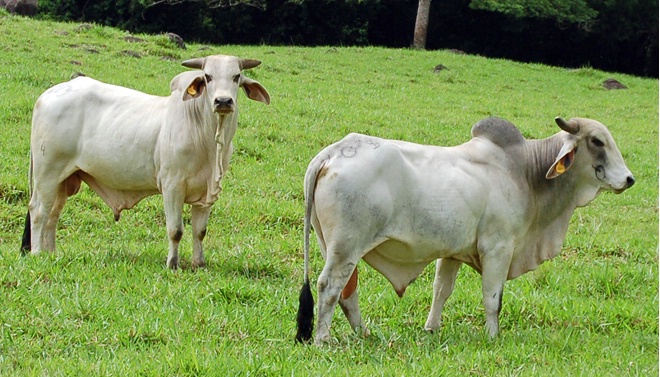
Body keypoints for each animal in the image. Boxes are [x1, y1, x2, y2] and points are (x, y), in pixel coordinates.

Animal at [22, 54, 270, 268]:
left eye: (236, 76)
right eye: (208, 76)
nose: (223, 101)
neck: (208, 138)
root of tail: (45, 96)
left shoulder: (206, 193)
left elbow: (199, 232)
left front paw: (198, 264)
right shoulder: (172, 186)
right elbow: (175, 230)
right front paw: (172, 264)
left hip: (64, 180)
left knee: (53, 215)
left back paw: (51, 253)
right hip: (47, 174)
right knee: (38, 211)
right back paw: (37, 254)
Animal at [296, 116, 636, 342]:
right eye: (597, 141)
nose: (629, 179)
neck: (526, 173)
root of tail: (334, 151)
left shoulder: (452, 253)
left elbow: (441, 291)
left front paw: (431, 329)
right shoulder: (498, 248)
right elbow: (493, 297)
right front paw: (493, 336)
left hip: (334, 246)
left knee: (347, 291)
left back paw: (364, 333)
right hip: (346, 247)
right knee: (329, 287)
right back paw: (323, 339)